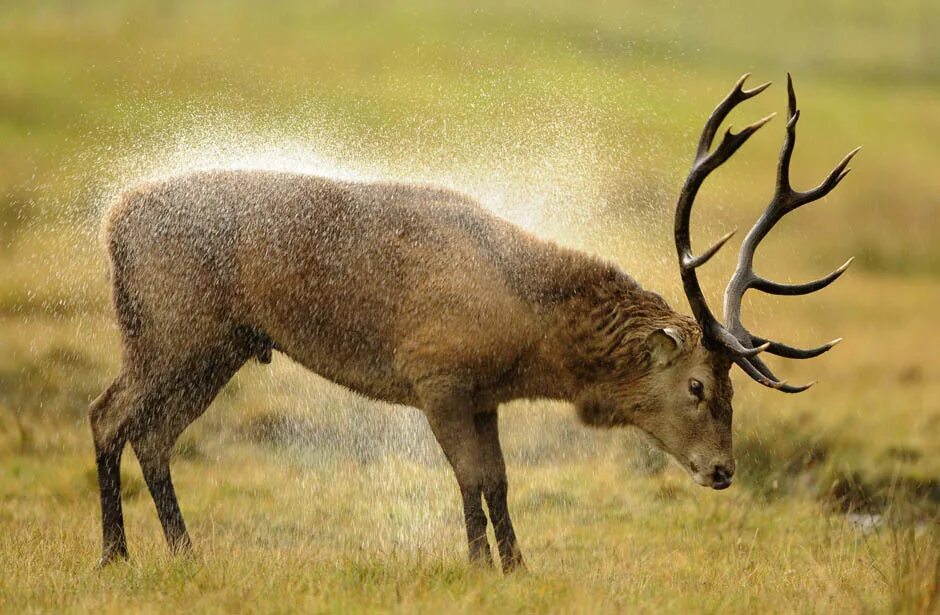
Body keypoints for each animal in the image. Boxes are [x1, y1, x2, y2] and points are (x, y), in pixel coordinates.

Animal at [92, 76, 856, 572]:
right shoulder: (439, 376)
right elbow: (469, 477)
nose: (724, 469)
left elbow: (499, 479)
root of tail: (112, 221)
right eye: (698, 386)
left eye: (734, 388)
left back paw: (184, 552)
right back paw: (115, 554)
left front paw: (516, 565)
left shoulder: (485, 394)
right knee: (108, 415)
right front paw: (479, 563)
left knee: (153, 434)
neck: (529, 340)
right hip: (169, 329)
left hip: (218, 345)